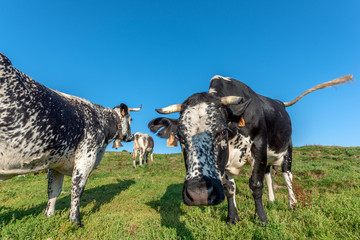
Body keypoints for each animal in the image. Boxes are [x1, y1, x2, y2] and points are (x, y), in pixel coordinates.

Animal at [0, 53, 142, 227]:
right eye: (131, 119)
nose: (131, 136)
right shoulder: (86, 157)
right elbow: (77, 189)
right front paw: (75, 221)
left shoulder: (56, 163)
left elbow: (53, 190)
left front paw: (48, 216)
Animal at [148, 74, 352, 225]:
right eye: (180, 136)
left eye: (222, 131)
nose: (199, 194)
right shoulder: (226, 163)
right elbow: (230, 188)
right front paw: (232, 218)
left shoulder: (259, 147)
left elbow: (255, 184)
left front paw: (261, 219)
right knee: (269, 175)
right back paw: (272, 200)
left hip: (287, 150)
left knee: (287, 176)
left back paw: (292, 203)